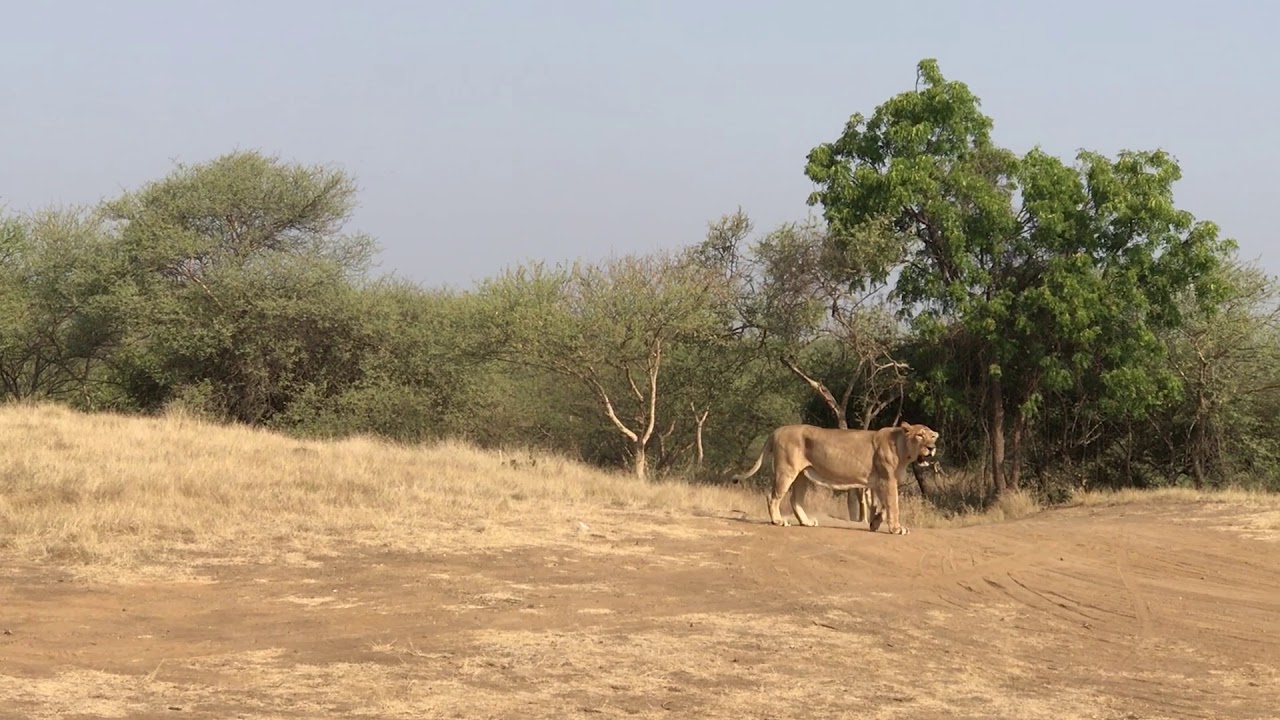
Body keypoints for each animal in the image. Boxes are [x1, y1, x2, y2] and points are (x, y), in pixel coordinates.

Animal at [732, 417, 942, 530]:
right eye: (920, 435)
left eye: (932, 436)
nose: (932, 448)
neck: (904, 451)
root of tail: (777, 430)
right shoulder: (887, 480)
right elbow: (894, 505)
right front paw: (897, 529)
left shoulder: (880, 482)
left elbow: (883, 506)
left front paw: (875, 524)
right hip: (786, 470)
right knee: (773, 496)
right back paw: (777, 521)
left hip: (802, 475)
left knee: (794, 499)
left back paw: (806, 522)